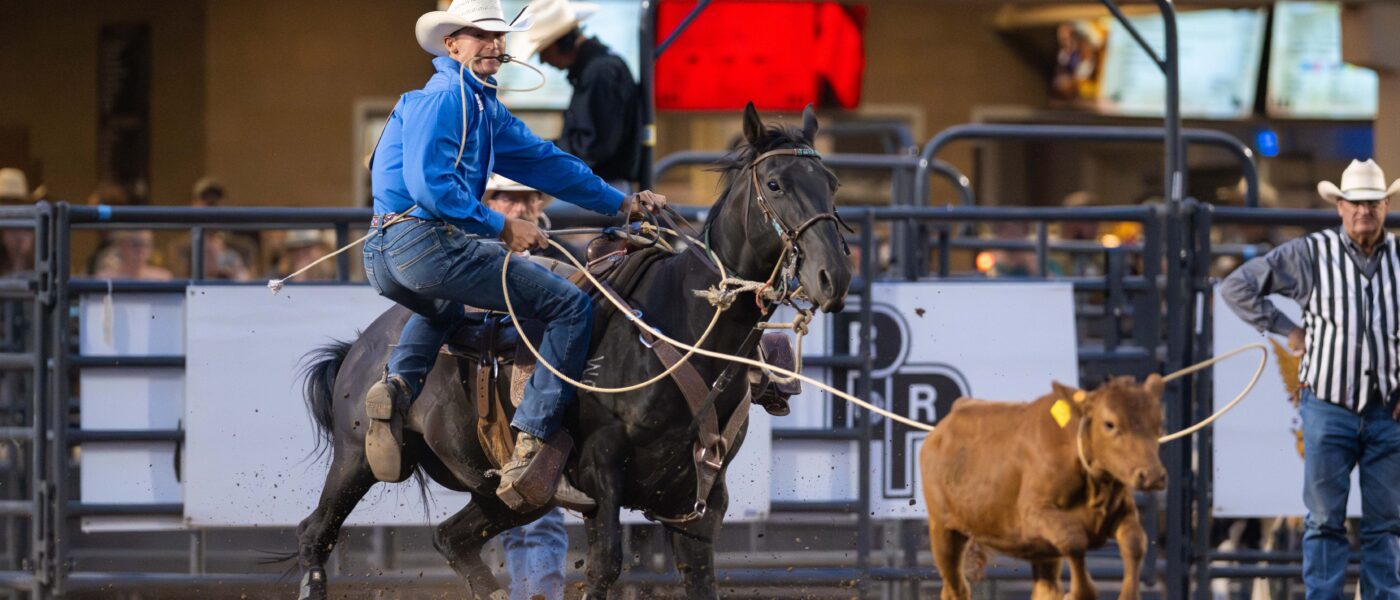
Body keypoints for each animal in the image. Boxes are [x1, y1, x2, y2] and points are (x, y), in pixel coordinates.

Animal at [290, 102, 852, 599]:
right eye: (775, 184)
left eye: (832, 184)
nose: (835, 276)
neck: (686, 333)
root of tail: (361, 346)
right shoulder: (603, 474)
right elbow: (605, 568)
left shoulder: (702, 498)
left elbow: (701, 579)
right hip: (354, 459)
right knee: (315, 532)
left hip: (510, 497)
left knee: (451, 538)